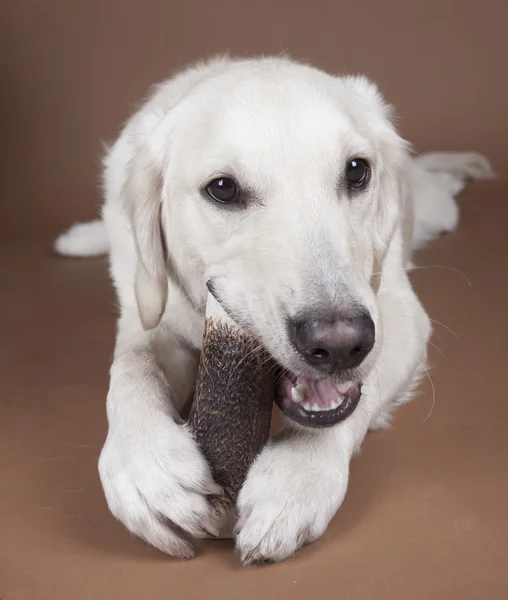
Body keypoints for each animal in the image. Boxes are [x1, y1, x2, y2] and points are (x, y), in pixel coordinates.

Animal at [53, 55, 494, 564]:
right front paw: (145, 465)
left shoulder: (402, 316)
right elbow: (130, 366)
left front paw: (296, 478)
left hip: (434, 213)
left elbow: (360, 392)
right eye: (223, 189)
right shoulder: (146, 314)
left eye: (356, 171)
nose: (339, 346)